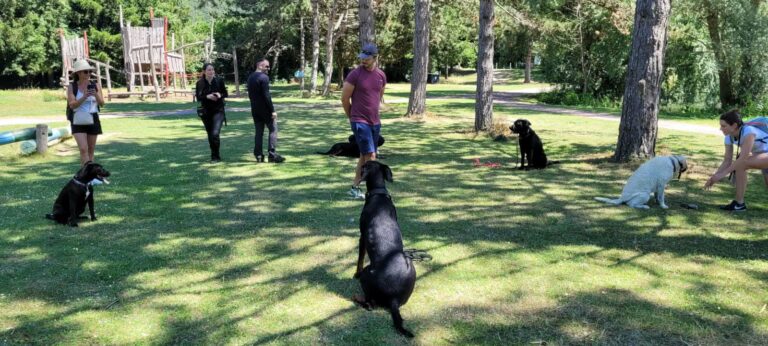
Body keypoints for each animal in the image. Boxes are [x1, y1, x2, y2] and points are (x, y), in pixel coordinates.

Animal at [352, 162, 414, 338]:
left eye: (364, 167)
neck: (378, 194)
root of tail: (394, 299)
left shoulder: (362, 237)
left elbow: (360, 258)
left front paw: (355, 273)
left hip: (367, 274)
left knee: (370, 304)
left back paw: (357, 298)